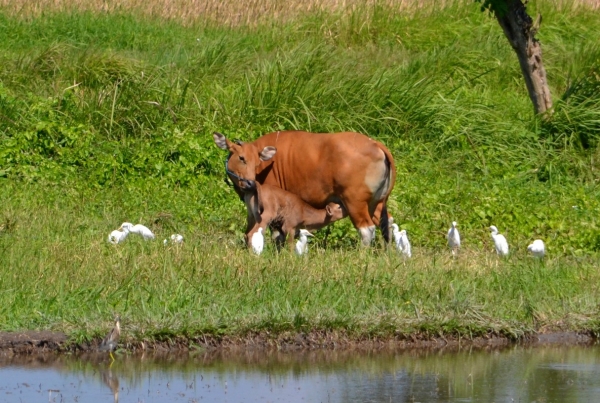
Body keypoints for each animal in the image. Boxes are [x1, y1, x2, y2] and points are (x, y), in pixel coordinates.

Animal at [213, 133, 396, 246]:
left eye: (256, 163)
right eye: (242, 158)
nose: (250, 183)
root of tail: (375, 144)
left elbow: (276, 233)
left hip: (355, 202)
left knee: (367, 229)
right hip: (377, 202)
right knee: (386, 223)